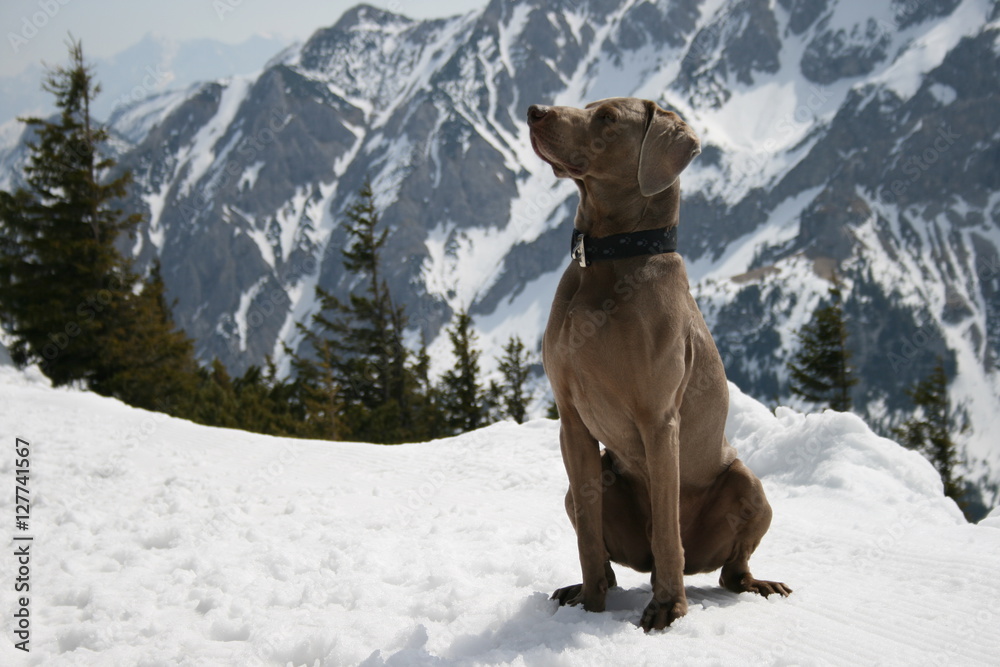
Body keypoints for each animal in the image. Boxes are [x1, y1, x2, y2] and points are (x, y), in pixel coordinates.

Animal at [528, 98, 792, 632]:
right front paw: (591, 604)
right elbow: (588, 532)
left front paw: (669, 608)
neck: (608, 261)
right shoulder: (571, 421)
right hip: (591, 482)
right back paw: (585, 588)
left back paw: (754, 582)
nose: (535, 110)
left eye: (608, 117)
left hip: (748, 484)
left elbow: (668, 528)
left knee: (728, 567)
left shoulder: (658, 419)